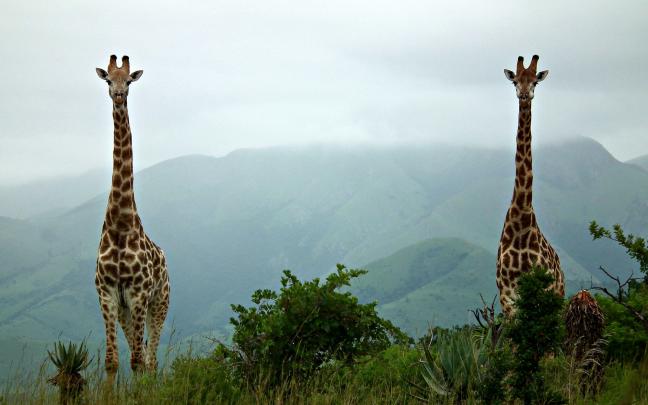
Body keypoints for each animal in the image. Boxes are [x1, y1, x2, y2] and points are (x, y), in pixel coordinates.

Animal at [496, 55, 565, 317]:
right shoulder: (507, 297)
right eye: (515, 81)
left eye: (535, 81)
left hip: (558, 296)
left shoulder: (541, 292)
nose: (524, 94)